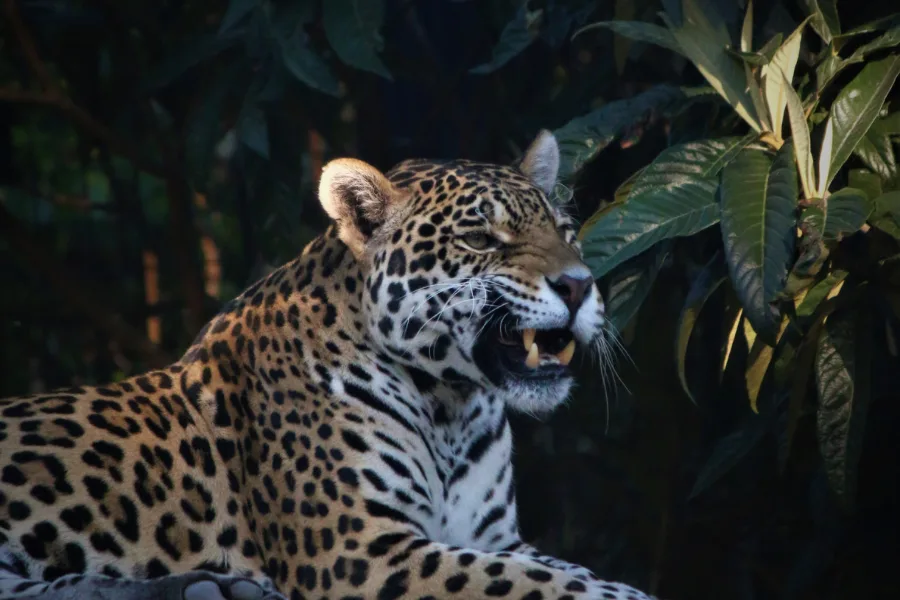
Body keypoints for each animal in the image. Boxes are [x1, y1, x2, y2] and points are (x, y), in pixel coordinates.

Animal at [0, 130, 654, 600]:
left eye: (567, 232)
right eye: (480, 239)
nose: (579, 285)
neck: (451, 406)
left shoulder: (498, 538)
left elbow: (571, 572)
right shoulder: (358, 550)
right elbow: (546, 585)